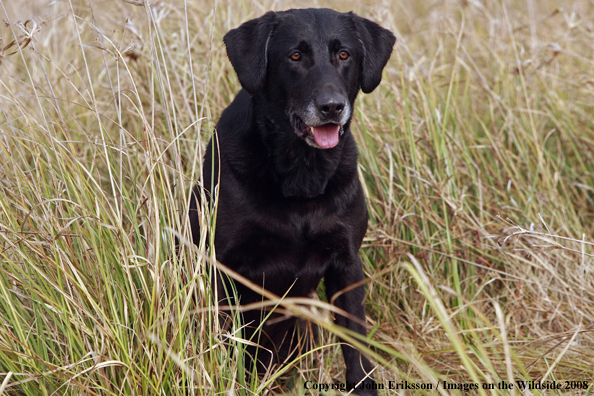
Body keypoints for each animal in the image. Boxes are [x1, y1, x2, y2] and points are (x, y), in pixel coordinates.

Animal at [190, 7, 394, 394]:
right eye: (295, 56)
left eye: (343, 54)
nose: (332, 107)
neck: (301, 176)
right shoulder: (223, 268)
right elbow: (227, 344)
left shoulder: (346, 263)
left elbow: (356, 346)